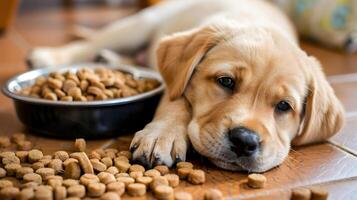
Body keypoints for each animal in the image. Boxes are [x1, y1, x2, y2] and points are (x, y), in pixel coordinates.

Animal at [26, 0, 344, 172]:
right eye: (226, 81)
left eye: (284, 106)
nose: (245, 141)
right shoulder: (174, 79)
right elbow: (177, 100)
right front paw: (163, 136)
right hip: (142, 23)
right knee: (93, 42)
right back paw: (50, 56)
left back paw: (110, 59)